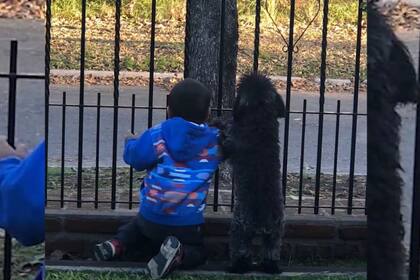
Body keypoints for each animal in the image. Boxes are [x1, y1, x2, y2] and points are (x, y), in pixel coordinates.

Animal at [220, 72, 286, 274]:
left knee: (241, 252)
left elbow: (226, 132)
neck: (260, 113)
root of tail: (262, 224)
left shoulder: (231, 139)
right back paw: (271, 266)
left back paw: (235, 267)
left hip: (239, 228)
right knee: (271, 253)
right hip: (276, 234)